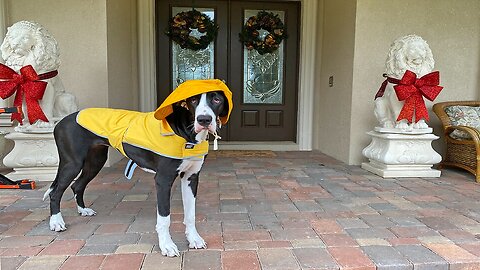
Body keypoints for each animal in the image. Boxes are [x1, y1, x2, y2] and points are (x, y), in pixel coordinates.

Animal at [44, 85, 231, 256]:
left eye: (216, 99)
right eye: (193, 100)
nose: (204, 119)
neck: (185, 133)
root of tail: (61, 121)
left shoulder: (191, 178)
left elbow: (190, 214)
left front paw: (194, 239)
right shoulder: (163, 180)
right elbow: (164, 218)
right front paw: (167, 246)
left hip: (95, 161)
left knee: (77, 185)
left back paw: (83, 210)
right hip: (72, 164)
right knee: (55, 192)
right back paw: (56, 222)